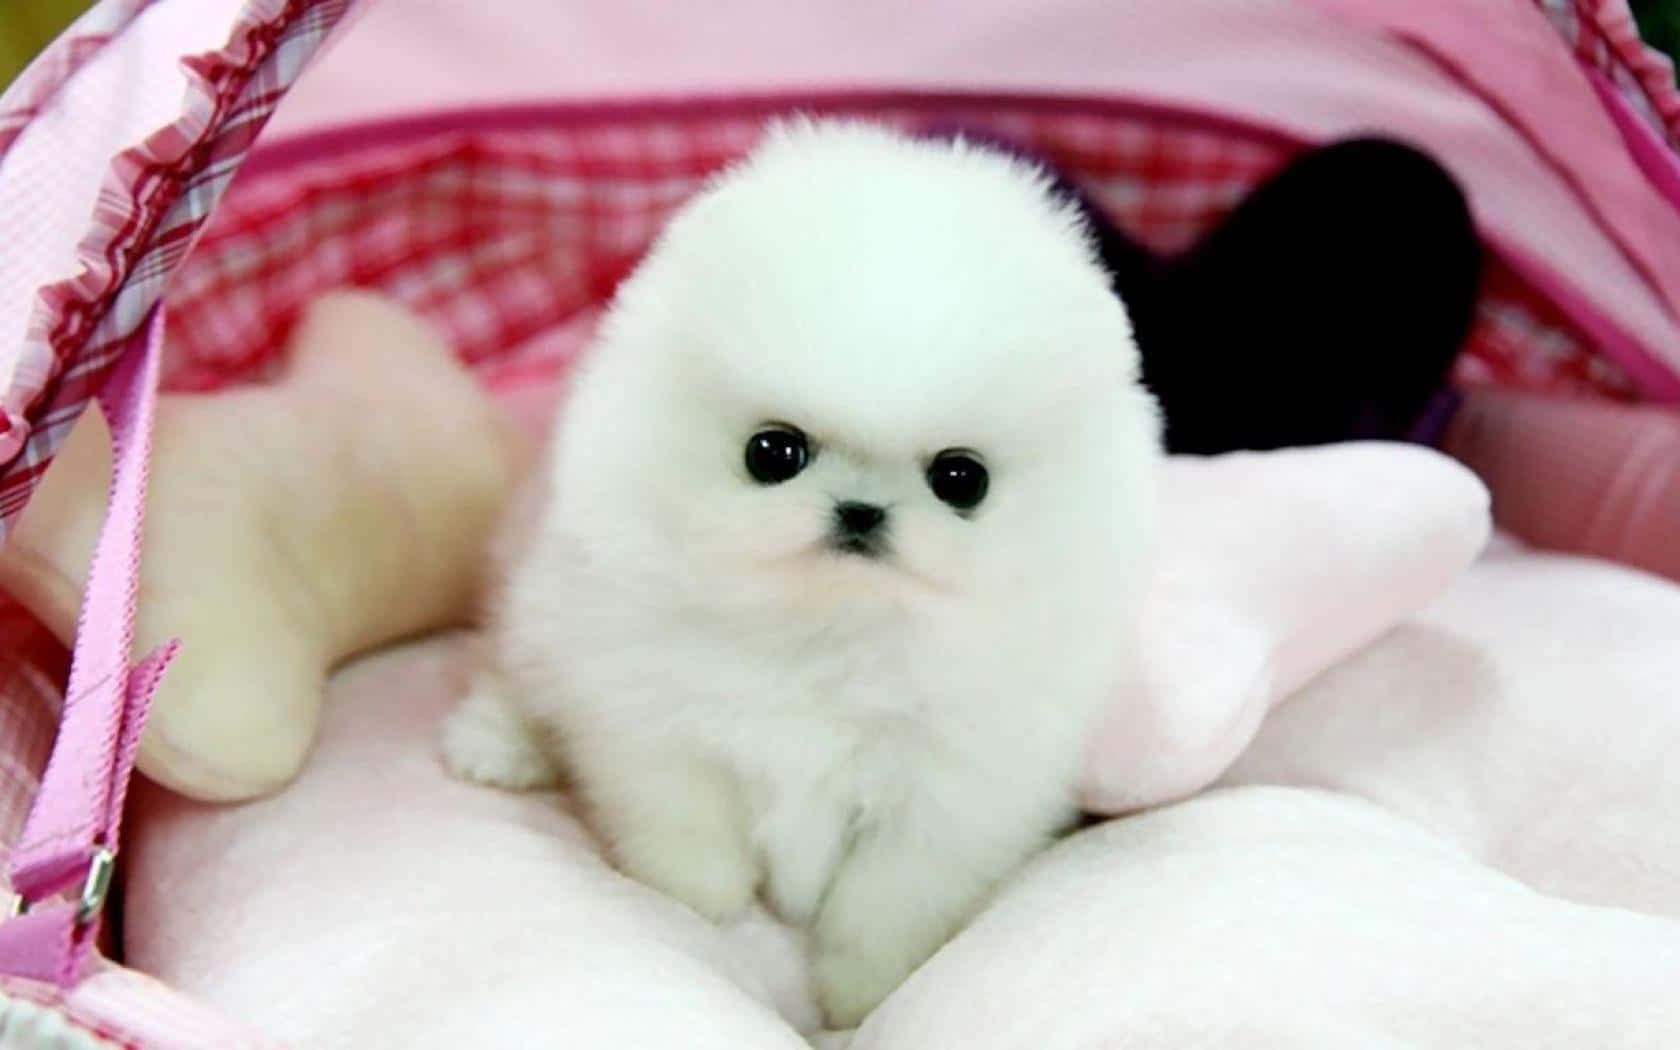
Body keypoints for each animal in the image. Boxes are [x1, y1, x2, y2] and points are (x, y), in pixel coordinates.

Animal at [440, 120, 1162, 1021]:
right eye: (772, 452)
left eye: (962, 479)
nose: (860, 511)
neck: (832, 628)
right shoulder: (647, 711)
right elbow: (682, 816)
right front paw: (697, 902)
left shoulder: (951, 794)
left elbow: (889, 901)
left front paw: (859, 996)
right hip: (537, 604)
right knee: (513, 669)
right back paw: (494, 746)